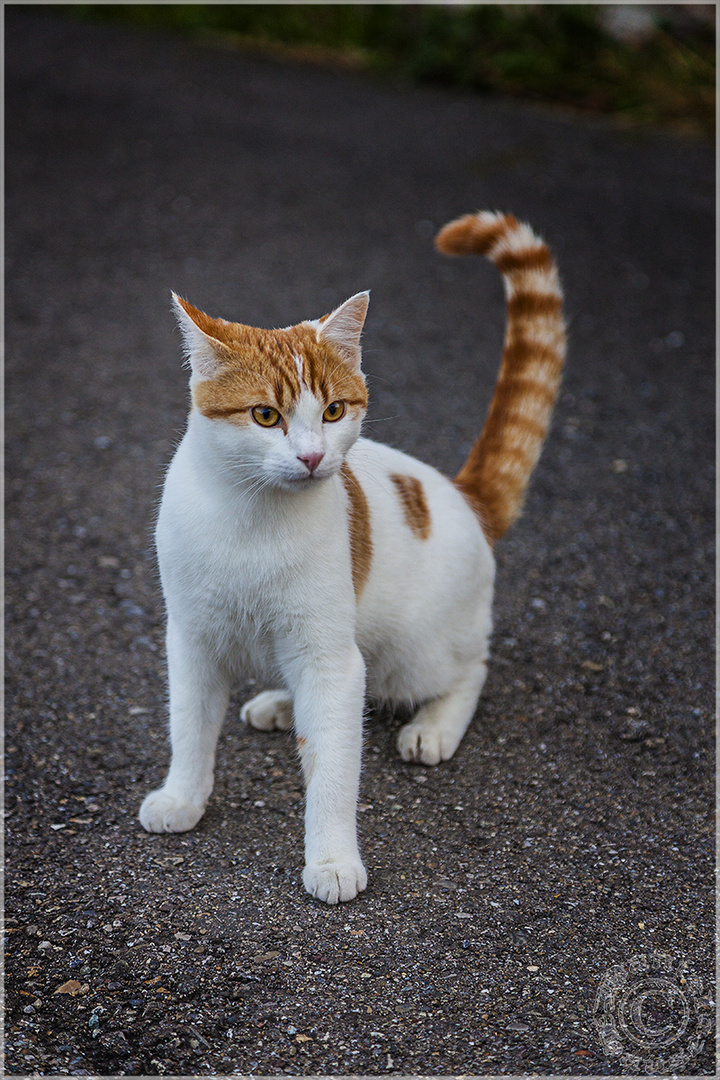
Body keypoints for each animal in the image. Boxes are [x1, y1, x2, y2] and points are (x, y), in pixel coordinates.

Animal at [139, 210, 569, 902]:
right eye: (266, 416)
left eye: (335, 410)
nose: (315, 456)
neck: (251, 518)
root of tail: (463, 494)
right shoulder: (192, 639)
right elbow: (189, 728)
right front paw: (183, 797)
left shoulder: (330, 659)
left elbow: (335, 771)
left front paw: (333, 860)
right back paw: (280, 704)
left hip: (414, 650)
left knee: (467, 668)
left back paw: (434, 725)